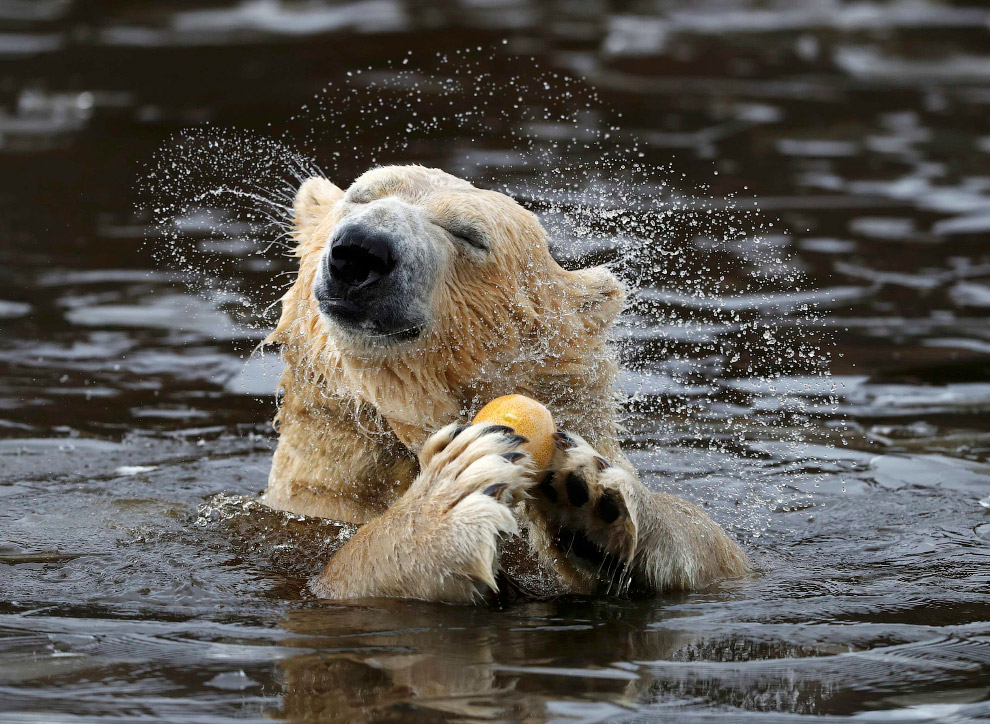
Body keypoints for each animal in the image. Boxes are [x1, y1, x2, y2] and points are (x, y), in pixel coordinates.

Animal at [264, 167, 752, 604]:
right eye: (360, 197)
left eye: (469, 235)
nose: (361, 250)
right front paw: (445, 500)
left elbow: (727, 557)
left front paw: (593, 493)